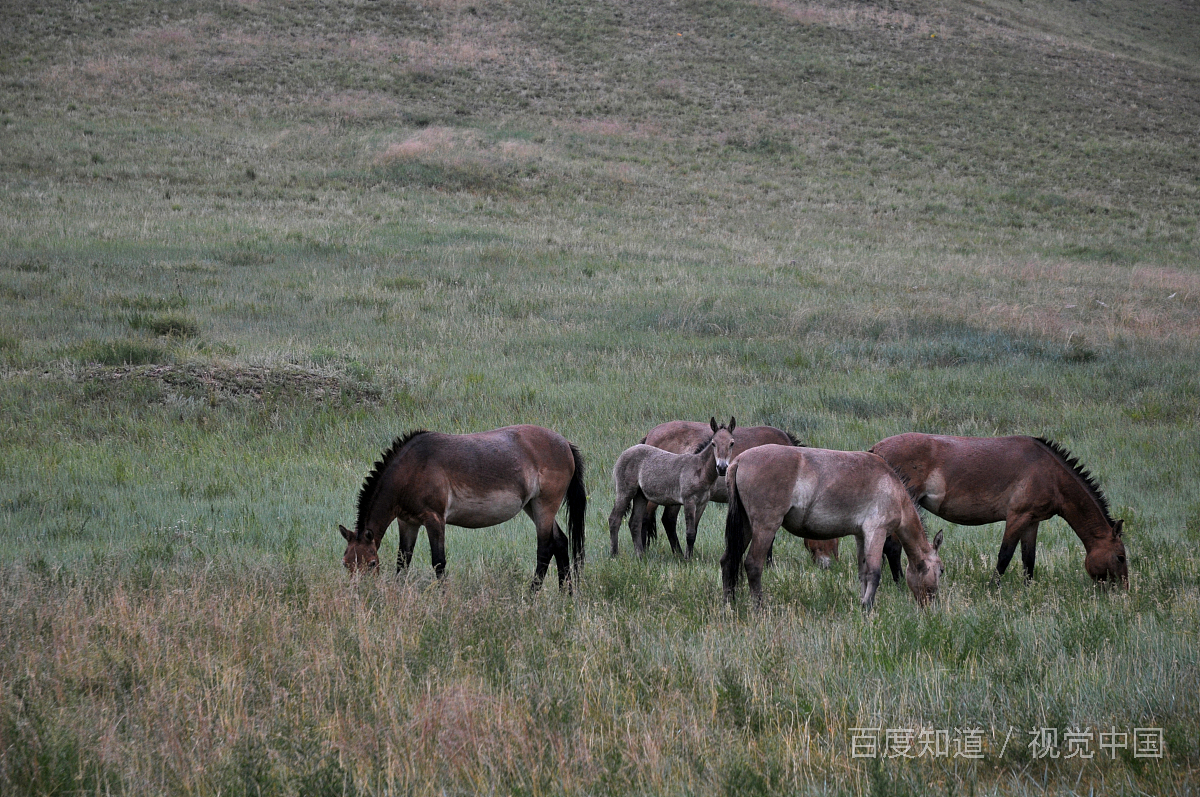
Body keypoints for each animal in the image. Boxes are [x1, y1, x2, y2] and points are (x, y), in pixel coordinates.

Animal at [338, 422, 585, 590]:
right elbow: (403, 561)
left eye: (371, 563)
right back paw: (567, 595)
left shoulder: (434, 519)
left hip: (545, 505)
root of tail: (565, 444)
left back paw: (532, 596)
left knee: (545, 549)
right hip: (533, 506)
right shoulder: (407, 522)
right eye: (346, 563)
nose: (360, 593)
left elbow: (439, 563)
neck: (412, 469)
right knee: (560, 542)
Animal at [715, 441, 940, 609]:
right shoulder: (876, 531)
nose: (932, 604)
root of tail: (739, 460)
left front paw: (862, 603)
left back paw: (728, 604)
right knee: (753, 565)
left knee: (728, 560)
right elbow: (874, 573)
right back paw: (759, 608)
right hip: (765, 528)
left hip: (746, 526)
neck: (894, 487)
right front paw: (868, 607)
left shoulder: (861, 536)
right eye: (942, 570)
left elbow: (863, 572)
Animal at [868, 436, 1128, 585]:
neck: (1051, 475)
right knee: (892, 547)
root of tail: (876, 450)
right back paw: (900, 583)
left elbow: (1028, 558)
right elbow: (1005, 555)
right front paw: (992, 587)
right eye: (1120, 557)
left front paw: (1028, 588)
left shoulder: (1032, 521)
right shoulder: (1017, 517)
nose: (1123, 590)